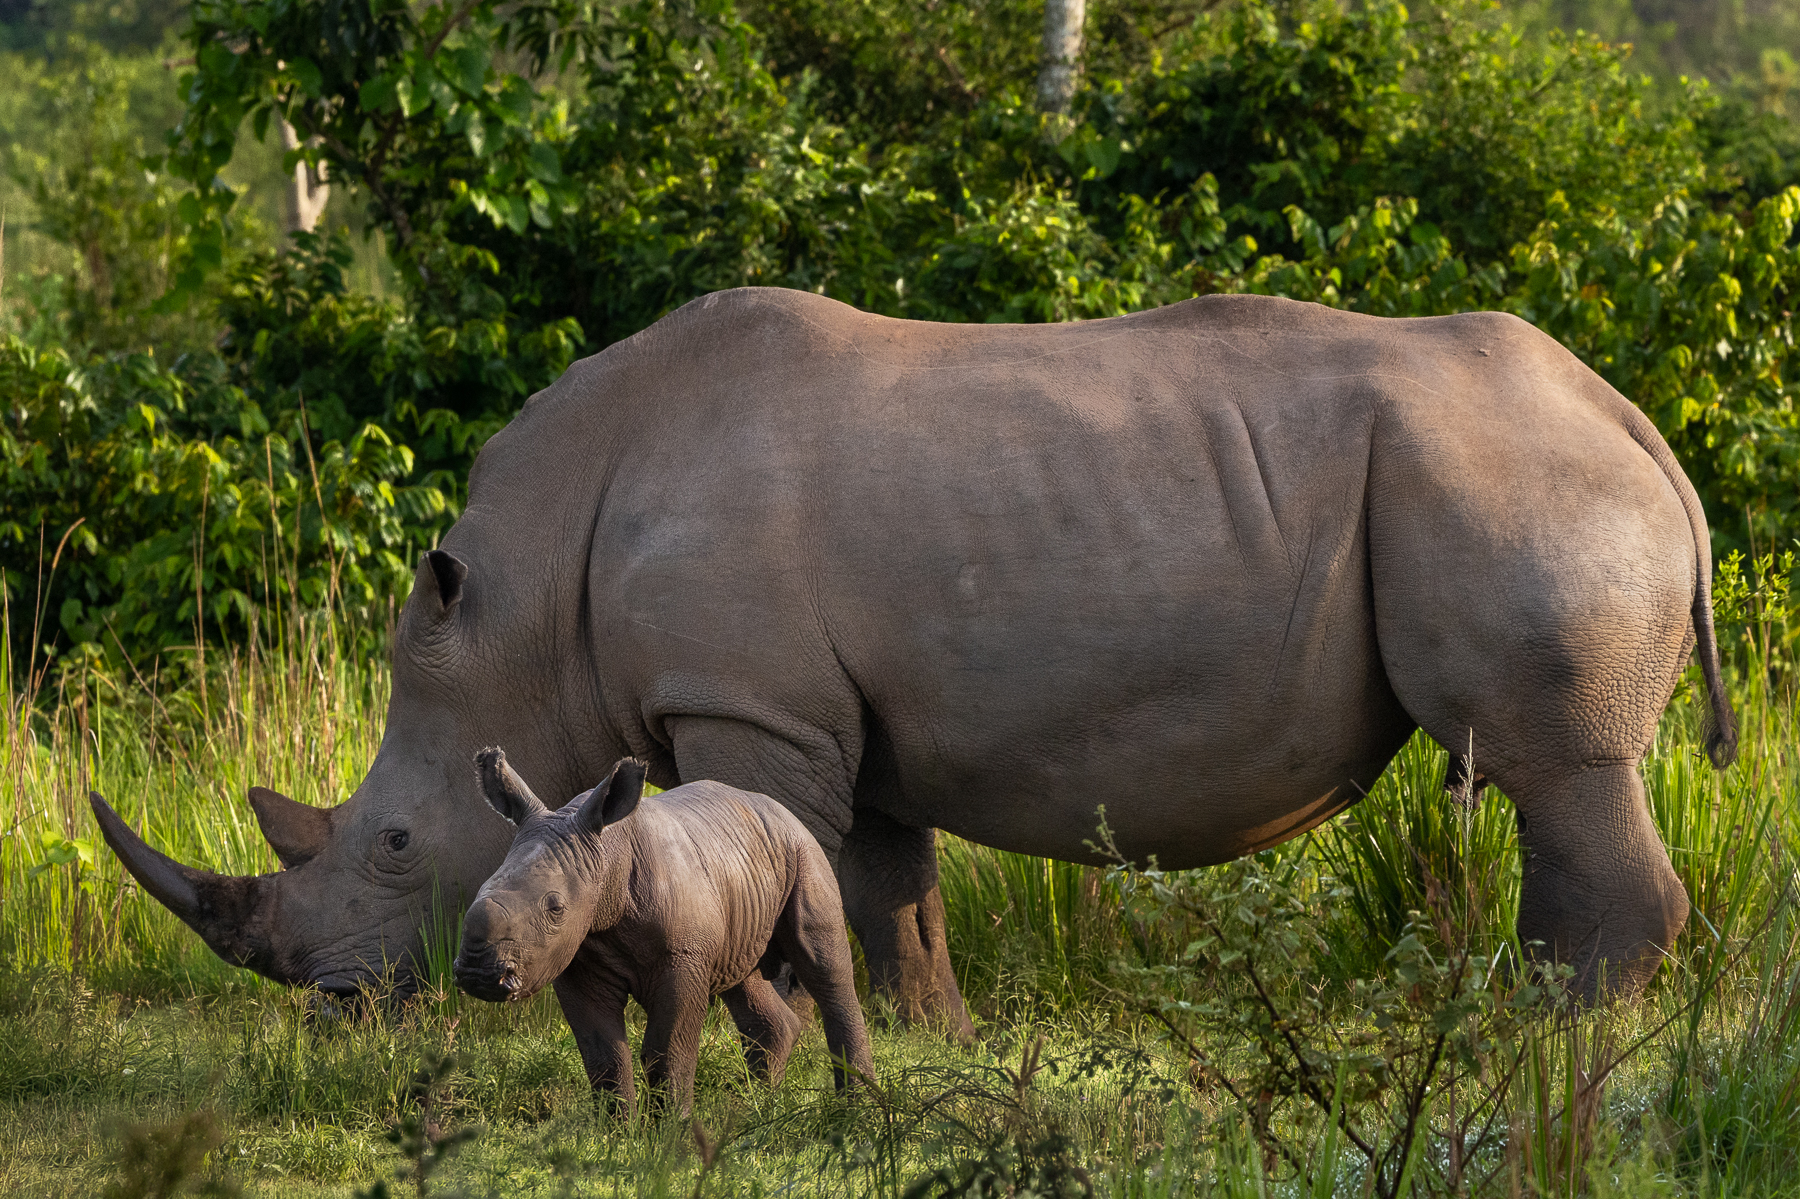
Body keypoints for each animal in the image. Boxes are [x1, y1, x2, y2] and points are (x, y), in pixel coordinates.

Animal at [92, 289, 1737, 1019]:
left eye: (389, 844)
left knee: (1558, 762)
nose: (330, 1005)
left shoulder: (746, 702)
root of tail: (1637, 423)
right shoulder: (832, 711)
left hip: (1517, 483)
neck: (525, 600)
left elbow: (793, 850)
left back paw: (1549, 1026)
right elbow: (882, 877)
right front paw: (926, 1027)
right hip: (1520, 472)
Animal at [454, 749, 873, 1111]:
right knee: (743, 977)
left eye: (555, 907)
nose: (478, 973)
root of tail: (783, 811)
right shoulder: (575, 959)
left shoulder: (682, 957)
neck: (606, 857)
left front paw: (671, 1133)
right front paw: (617, 1136)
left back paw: (854, 1111)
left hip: (804, 852)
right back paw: (753, 1109)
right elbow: (603, 1056)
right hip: (744, 868)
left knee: (824, 969)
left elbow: (668, 1050)